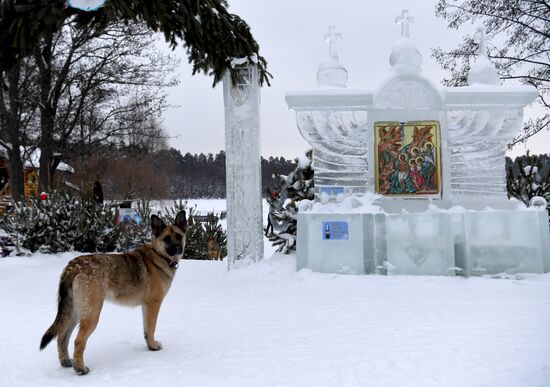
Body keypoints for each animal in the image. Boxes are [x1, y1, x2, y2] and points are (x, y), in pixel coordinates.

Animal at [39, 212, 188, 376]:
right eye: (167, 239)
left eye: (179, 236)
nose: (178, 248)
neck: (159, 254)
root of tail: (73, 266)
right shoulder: (153, 304)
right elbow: (151, 328)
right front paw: (153, 346)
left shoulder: (146, 306)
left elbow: (146, 330)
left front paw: (149, 346)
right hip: (91, 314)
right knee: (78, 341)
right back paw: (80, 369)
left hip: (74, 312)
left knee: (62, 337)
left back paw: (66, 361)